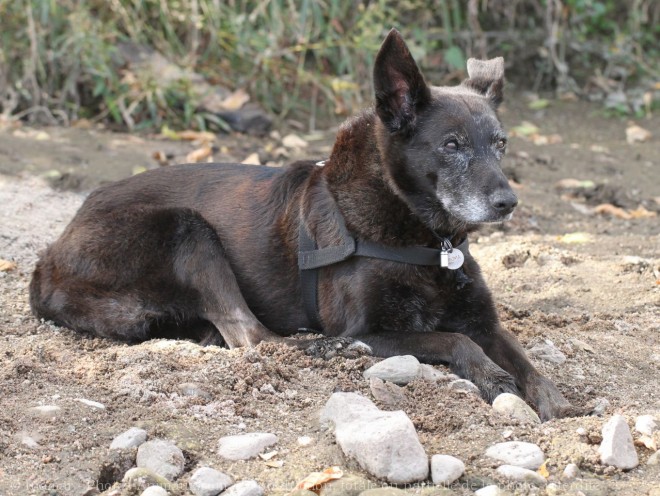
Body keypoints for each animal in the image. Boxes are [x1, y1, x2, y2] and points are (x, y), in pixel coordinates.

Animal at [29, 29, 584, 420]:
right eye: (452, 145)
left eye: (501, 144)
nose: (508, 203)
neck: (426, 237)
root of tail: (48, 256)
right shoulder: (371, 329)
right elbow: (453, 341)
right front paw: (492, 377)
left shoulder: (483, 321)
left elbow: (525, 361)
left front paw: (556, 402)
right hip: (185, 228)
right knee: (251, 335)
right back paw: (318, 348)